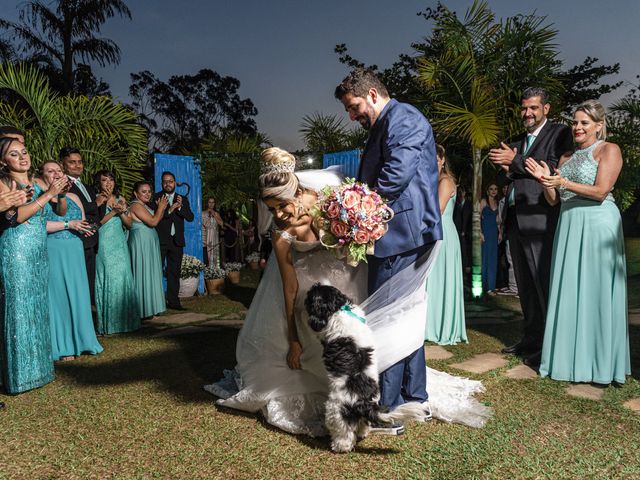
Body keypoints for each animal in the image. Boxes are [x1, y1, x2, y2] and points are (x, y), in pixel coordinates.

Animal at [304, 284, 430, 454]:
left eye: (312, 296)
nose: (306, 294)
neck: (340, 307)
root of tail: (364, 403)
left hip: (335, 411)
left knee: (344, 434)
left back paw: (338, 446)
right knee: (363, 424)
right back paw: (362, 433)